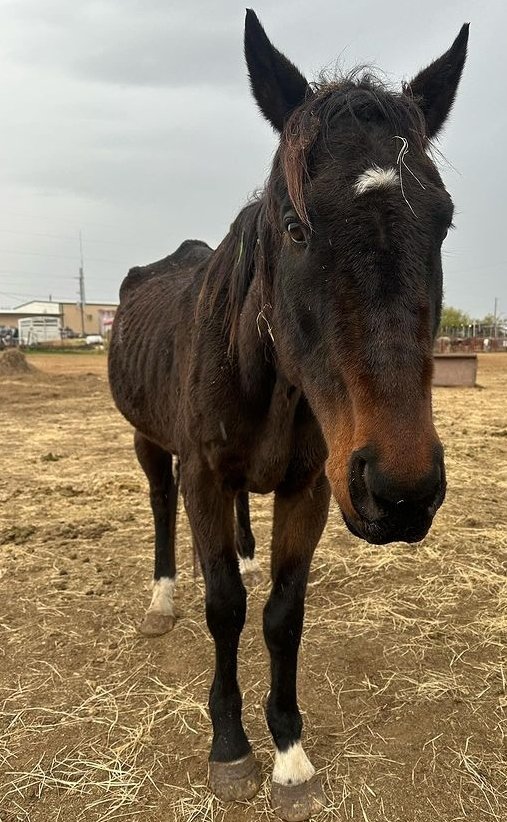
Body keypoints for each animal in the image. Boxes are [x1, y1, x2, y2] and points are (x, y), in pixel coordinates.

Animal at [108, 10, 468, 820]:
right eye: (295, 226)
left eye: (443, 224)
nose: (402, 491)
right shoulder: (204, 477)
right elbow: (225, 608)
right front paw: (230, 746)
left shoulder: (311, 487)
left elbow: (280, 613)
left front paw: (289, 751)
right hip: (150, 443)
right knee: (161, 507)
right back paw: (161, 597)